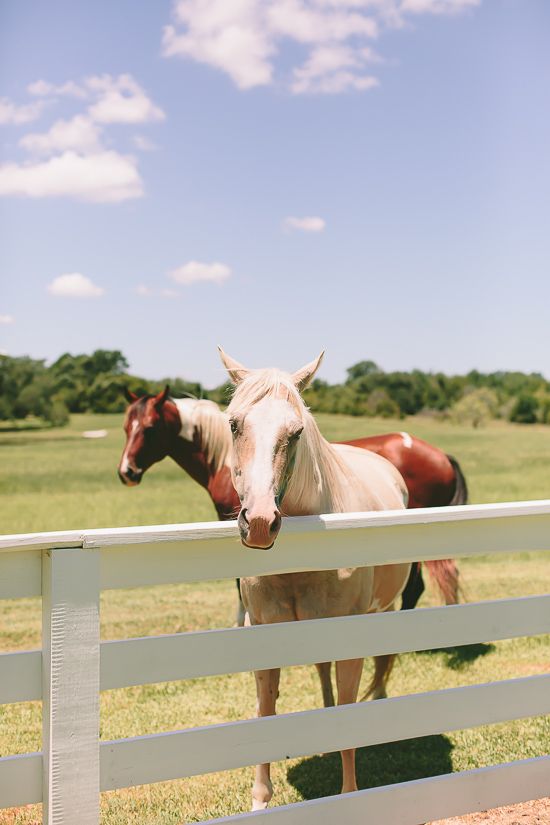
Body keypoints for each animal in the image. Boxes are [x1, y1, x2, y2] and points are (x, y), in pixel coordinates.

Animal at [219, 347, 413, 808]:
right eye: (234, 424)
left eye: (296, 432)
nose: (259, 522)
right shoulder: (264, 632)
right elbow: (266, 711)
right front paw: (259, 799)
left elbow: (348, 710)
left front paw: (349, 793)